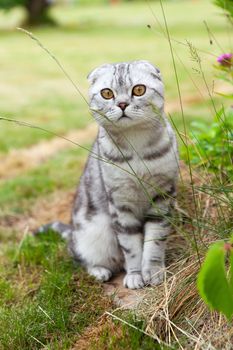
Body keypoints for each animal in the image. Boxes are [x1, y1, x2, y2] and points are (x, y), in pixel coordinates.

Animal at [37, 60, 178, 290]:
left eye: (139, 90)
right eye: (107, 93)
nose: (122, 104)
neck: (136, 144)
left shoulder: (162, 195)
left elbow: (155, 240)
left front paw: (154, 271)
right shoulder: (120, 202)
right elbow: (131, 246)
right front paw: (135, 275)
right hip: (90, 236)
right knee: (80, 257)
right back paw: (100, 271)